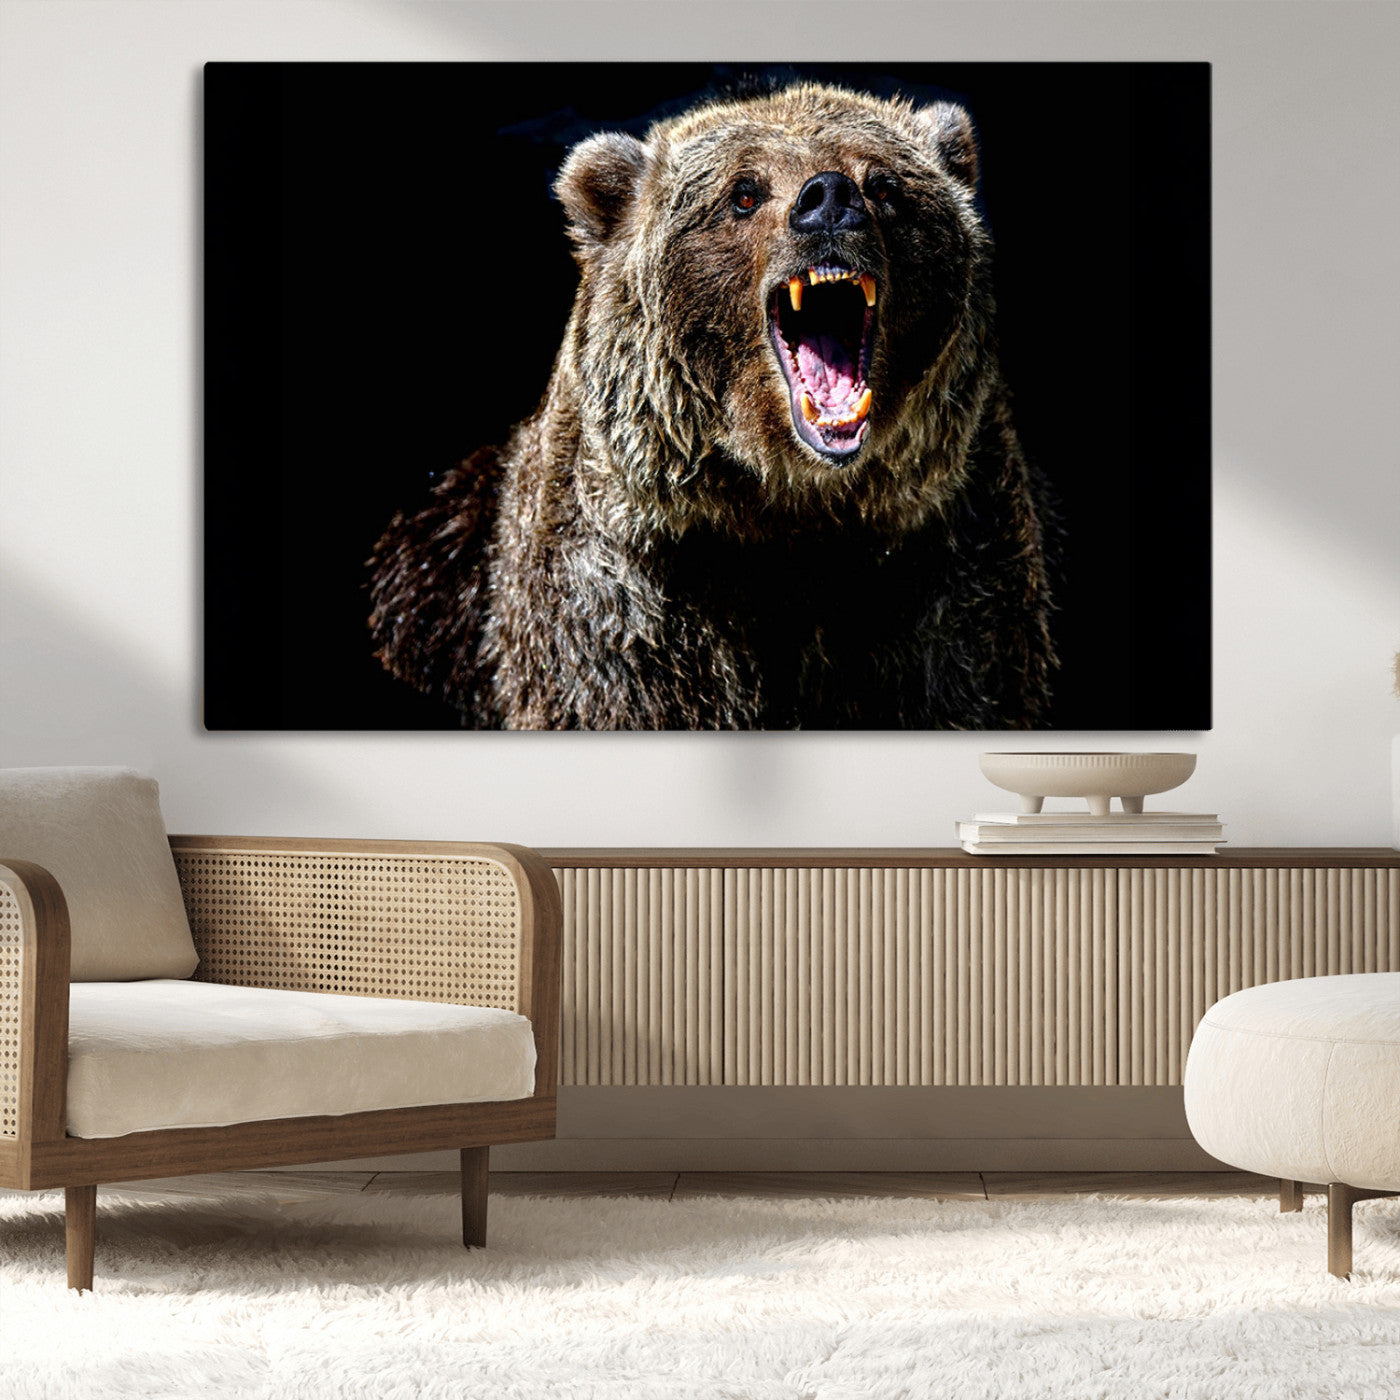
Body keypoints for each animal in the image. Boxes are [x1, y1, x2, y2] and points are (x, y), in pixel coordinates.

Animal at [368, 82, 1057, 729]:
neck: (789, 511)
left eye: (884, 185)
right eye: (743, 193)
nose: (829, 199)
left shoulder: (942, 578)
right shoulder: (629, 606)